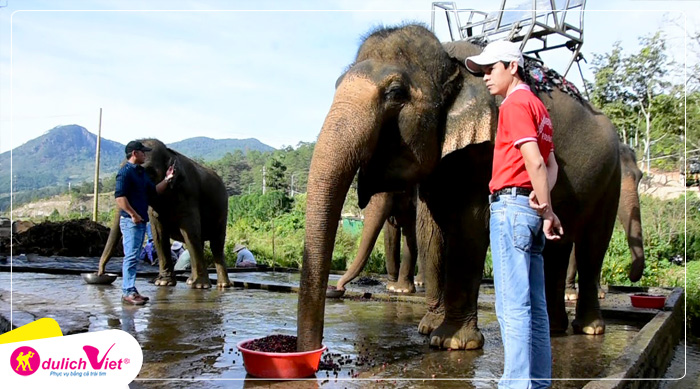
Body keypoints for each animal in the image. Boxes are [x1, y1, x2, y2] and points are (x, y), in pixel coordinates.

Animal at [97, 139, 232, 288]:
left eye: (147, 172)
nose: (101, 273)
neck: (169, 153)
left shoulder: (189, 196)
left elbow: (190, 233)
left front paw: (200, 286)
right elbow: (159, 235)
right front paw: (163, 282)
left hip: (222, 211)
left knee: (215, 244)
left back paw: (222, 285)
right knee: (200, 242)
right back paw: (190, 281)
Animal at [298, 24, 628, 352]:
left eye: (395, 93)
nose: (336, 290)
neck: (451, 61)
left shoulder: (484, 148)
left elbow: (468, 225)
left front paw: (452, 342)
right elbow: (430, 229)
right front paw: (428, 328)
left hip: (612, 177)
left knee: (593, 244)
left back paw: (589, 329)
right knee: (557, 247)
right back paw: (554, 328)